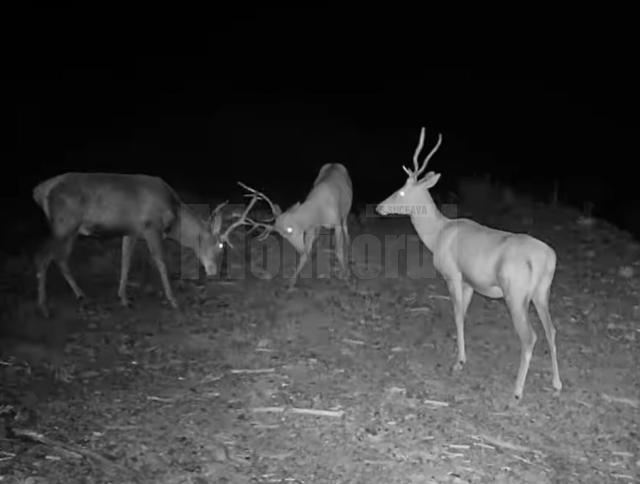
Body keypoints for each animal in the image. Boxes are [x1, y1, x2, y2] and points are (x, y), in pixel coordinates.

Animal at [33, 171, 260, 318]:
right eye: (220, 245)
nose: (213, 271)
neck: (174, 219)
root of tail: (39, 191)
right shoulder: (151, 227)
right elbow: (161, 263)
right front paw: (173, 300)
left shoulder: (132, 231)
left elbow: (125, 262)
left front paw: (123, 298)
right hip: (64, 223)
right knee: (43, 257)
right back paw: (44, 307)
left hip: (71, 229)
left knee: (60, 258)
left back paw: (81, 295)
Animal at [239, 163, 356, 292]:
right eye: (282, 236)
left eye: (290, 229)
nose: (299, 250)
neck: (318, 212)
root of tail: (334, 163)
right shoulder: (311, 227)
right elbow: (305, 255)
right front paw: (291, 283)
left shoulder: (336, 222)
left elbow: (338, 250)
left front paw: (348, 280)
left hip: (345, 212)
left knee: (347, 230)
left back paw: (348, 252)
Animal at [378, 126, 564, 402]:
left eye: (401, 190)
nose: (380, 207)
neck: (438, 234)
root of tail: (546, 258)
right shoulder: (469, 283)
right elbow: (463, 315)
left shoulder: (453, 275)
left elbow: (456, 314)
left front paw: (459, 362)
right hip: (542, 293)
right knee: (551, 330)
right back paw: (556, 384)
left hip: (516, 294)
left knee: (530, 336)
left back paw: (517, 391)